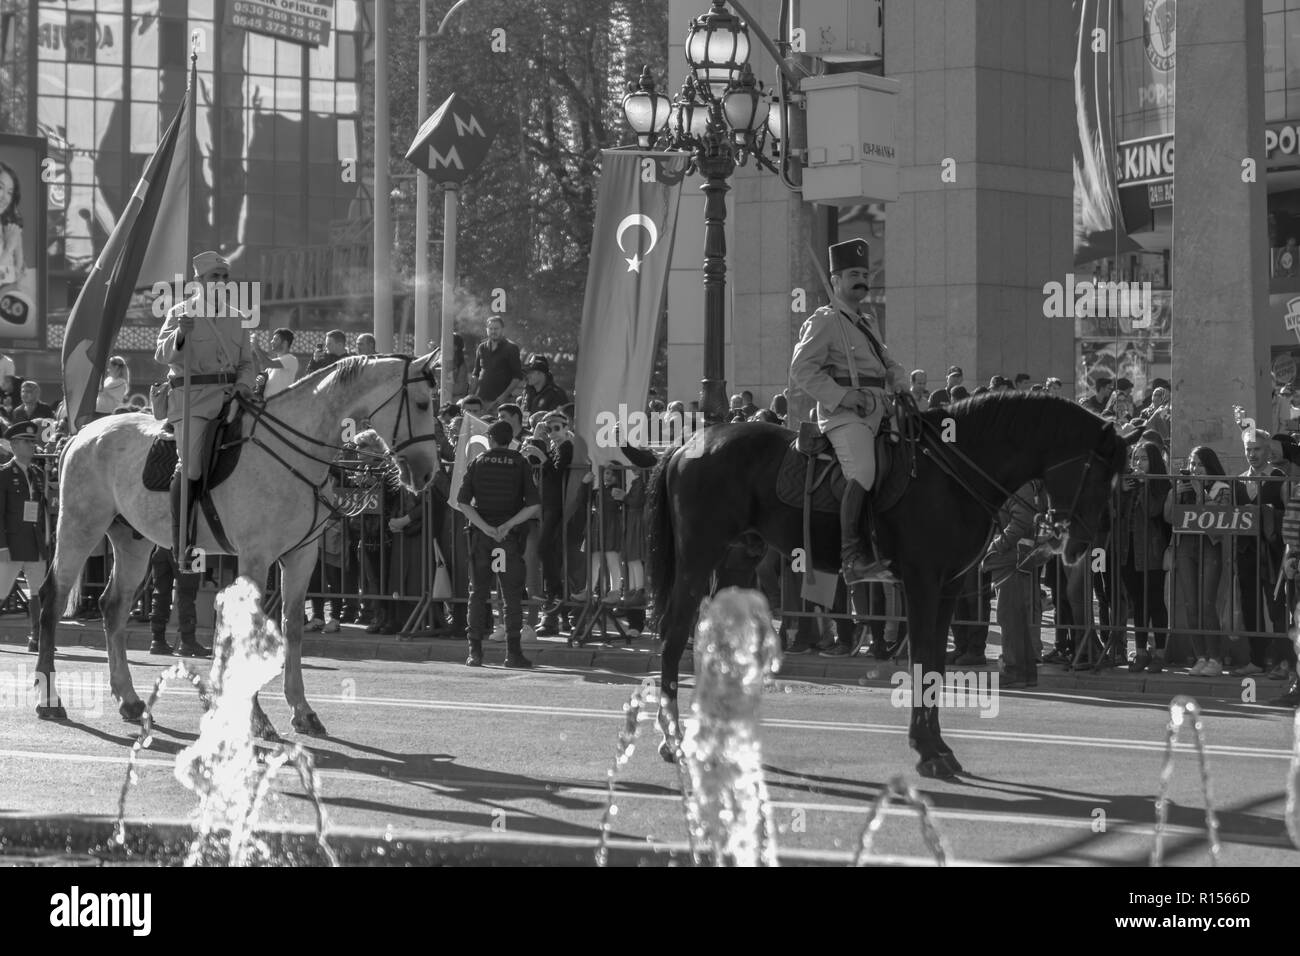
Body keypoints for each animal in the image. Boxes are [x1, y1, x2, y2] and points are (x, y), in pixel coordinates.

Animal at [34, 356, 441, 738]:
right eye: (422, 403)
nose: (428, 472)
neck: (295, 453)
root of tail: (83, 433)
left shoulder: (301, 556)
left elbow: (292, 627)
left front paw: (301, 710)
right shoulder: (255, 557)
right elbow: (251, 630)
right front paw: (256, 717)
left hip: (132, 542)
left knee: (113, 607)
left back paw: (129, 700)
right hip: (80, 527)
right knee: (52, 598)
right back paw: (49, 699)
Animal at [650, 392, 1138, 780]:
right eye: (1098, 475)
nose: (1086, 544)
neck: (954, 472)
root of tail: (687, 444)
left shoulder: (948, 588)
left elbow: (935, 663)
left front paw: (937, 747)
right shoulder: (923, 584)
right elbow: (921, 659)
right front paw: (926, 751)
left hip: (738, 563)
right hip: (698, 562)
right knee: (674, 637)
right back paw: (673, 738)